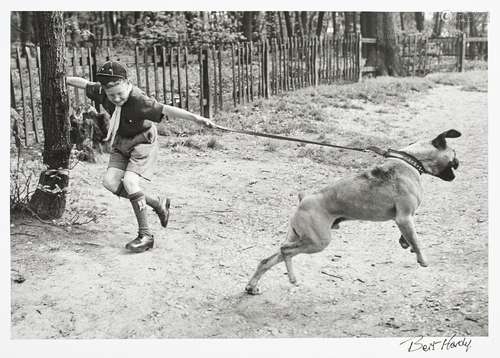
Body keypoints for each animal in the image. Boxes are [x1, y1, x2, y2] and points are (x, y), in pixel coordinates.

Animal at [245, 130, 460, 296]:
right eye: (454, 154)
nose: (459, 163)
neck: (410, 160)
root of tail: (304, 199)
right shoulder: (404, 217)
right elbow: (417, 240)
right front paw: (422, 259)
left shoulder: (404, 220)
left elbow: (409, 236)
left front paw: (405, 243)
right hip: (317, 242)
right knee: (285, 251)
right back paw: (292, 278)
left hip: (300, 237)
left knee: (269, 259)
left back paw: (252, 286)